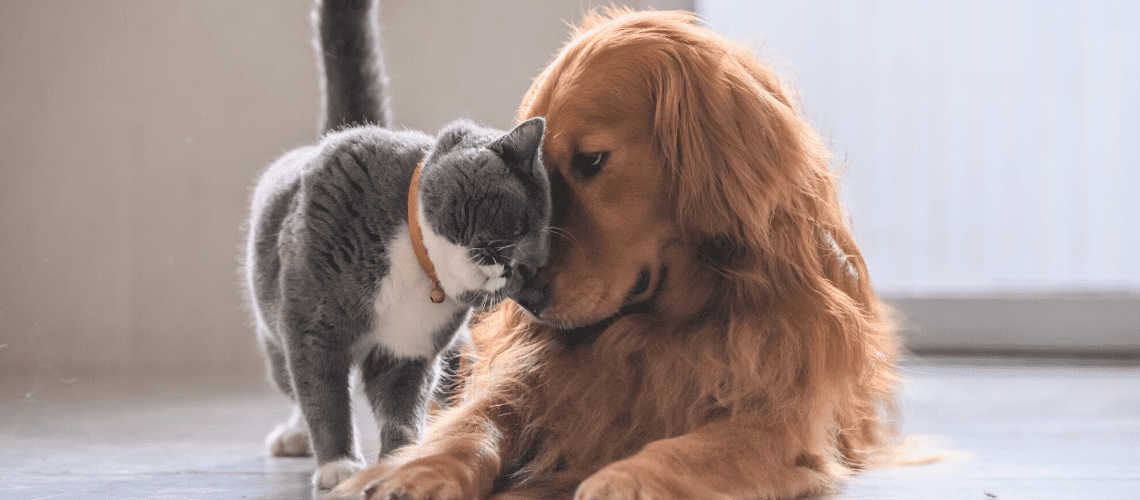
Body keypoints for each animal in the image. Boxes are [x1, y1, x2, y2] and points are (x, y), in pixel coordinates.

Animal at [240, 0, 551, 492]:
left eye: (531, 268)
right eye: (518, 225)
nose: (513, 268)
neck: (416, 267)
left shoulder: (409, 350)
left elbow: (401, 408)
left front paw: (401, 461)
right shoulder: (312, 324)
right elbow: (323, 394)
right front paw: (338, 464)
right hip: (275, 329)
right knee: (293, 382)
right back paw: (295, 436)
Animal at [337, 8, 898, 500]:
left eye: (591, 160)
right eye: (535, 181)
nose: (524, 298)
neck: (661, 325)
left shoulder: (781, 422)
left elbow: (690, 447)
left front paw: (622, 479)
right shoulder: (528, 377)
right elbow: (473, 423)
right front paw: (414, 471)